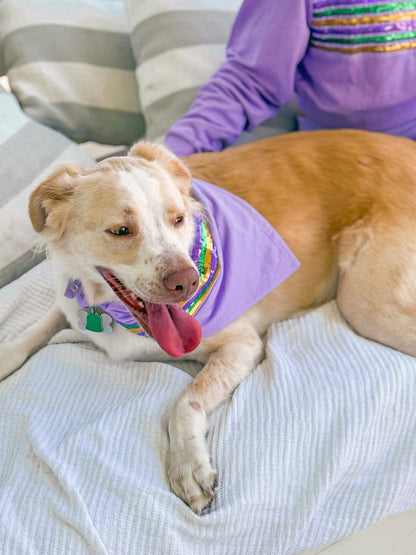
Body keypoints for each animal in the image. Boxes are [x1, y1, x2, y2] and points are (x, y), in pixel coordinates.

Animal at [0, 128, 416, 516]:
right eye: (121, 230)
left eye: (178, 219)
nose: (188, 282)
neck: (115, 314)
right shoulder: (71, 305)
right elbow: (34, 330)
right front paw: (7, 354)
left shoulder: (243, 343)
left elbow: (185, 401)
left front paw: (187, 466)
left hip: (363, 302)